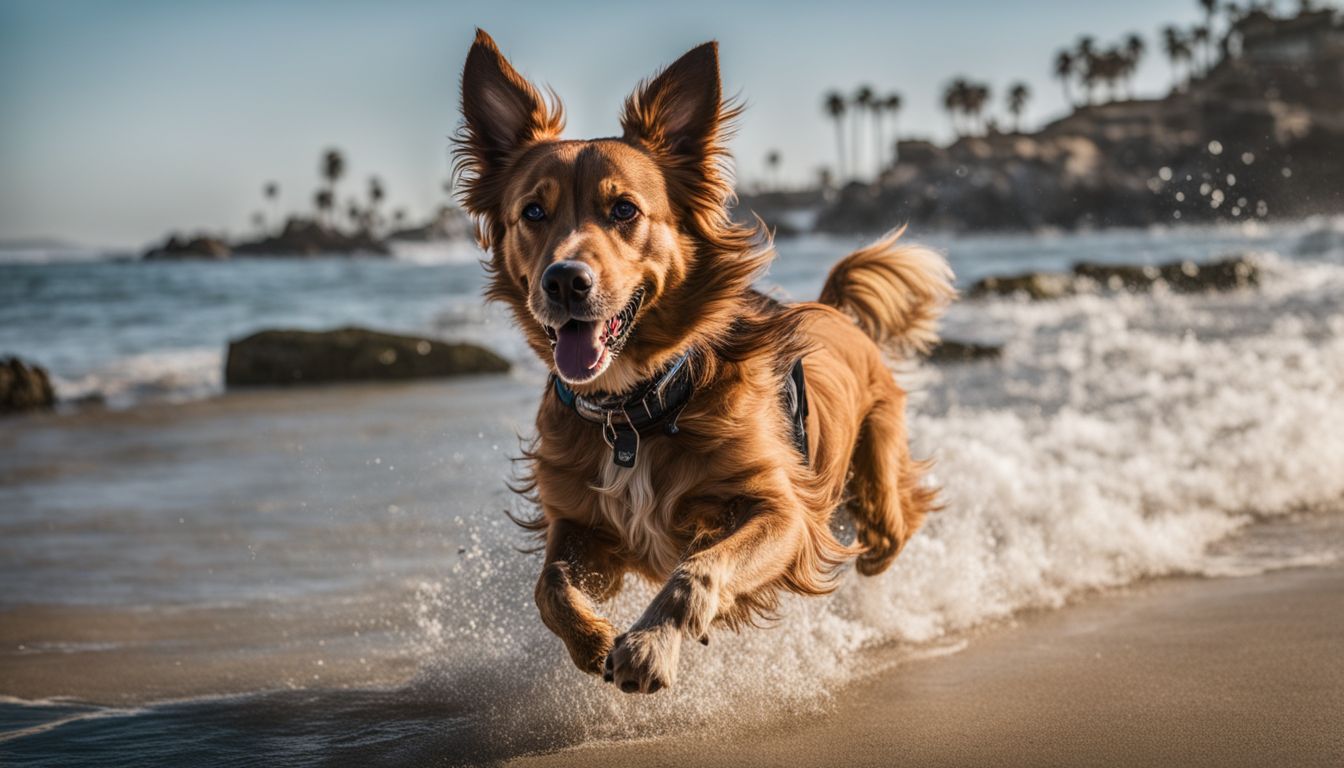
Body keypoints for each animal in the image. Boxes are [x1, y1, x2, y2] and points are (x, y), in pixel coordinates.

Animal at [454, 30, 956, 694]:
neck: (637, 408)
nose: (564, 281)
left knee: (887, 533)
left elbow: (698, 569)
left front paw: (648, 646)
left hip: (877, 482)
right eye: (533, 213)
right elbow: (549, 586)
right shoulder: (579, 522)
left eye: (624, 211)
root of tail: (832, 309)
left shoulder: (784, 512)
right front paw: (593, 641)